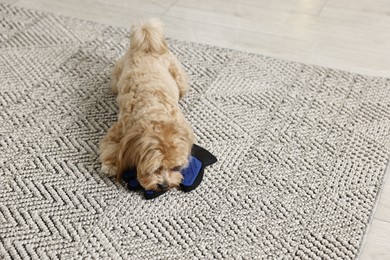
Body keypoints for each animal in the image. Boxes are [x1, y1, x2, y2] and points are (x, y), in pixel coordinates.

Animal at [98, 18, 194, 191]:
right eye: (155, 169)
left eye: (175, 167)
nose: (165, 185)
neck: (154, 109)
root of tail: (146, 47)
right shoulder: (119, 131)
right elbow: (110, 146)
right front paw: (111, 164)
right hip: (116, 80)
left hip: (180, 80)